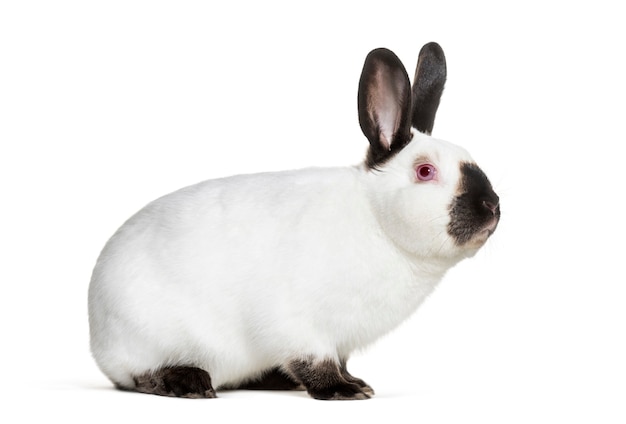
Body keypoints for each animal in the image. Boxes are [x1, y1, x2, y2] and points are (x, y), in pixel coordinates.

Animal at [88, 41, 498, 400]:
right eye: (425, 171)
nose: (491, 206)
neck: (376, 222)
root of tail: (95, 327)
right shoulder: (299, 325)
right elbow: (314, 362)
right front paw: (343, 391)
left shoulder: (339, 340)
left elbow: (339, 361)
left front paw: (357, 382)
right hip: (145, 337)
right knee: (137, 375)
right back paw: (187, 382)